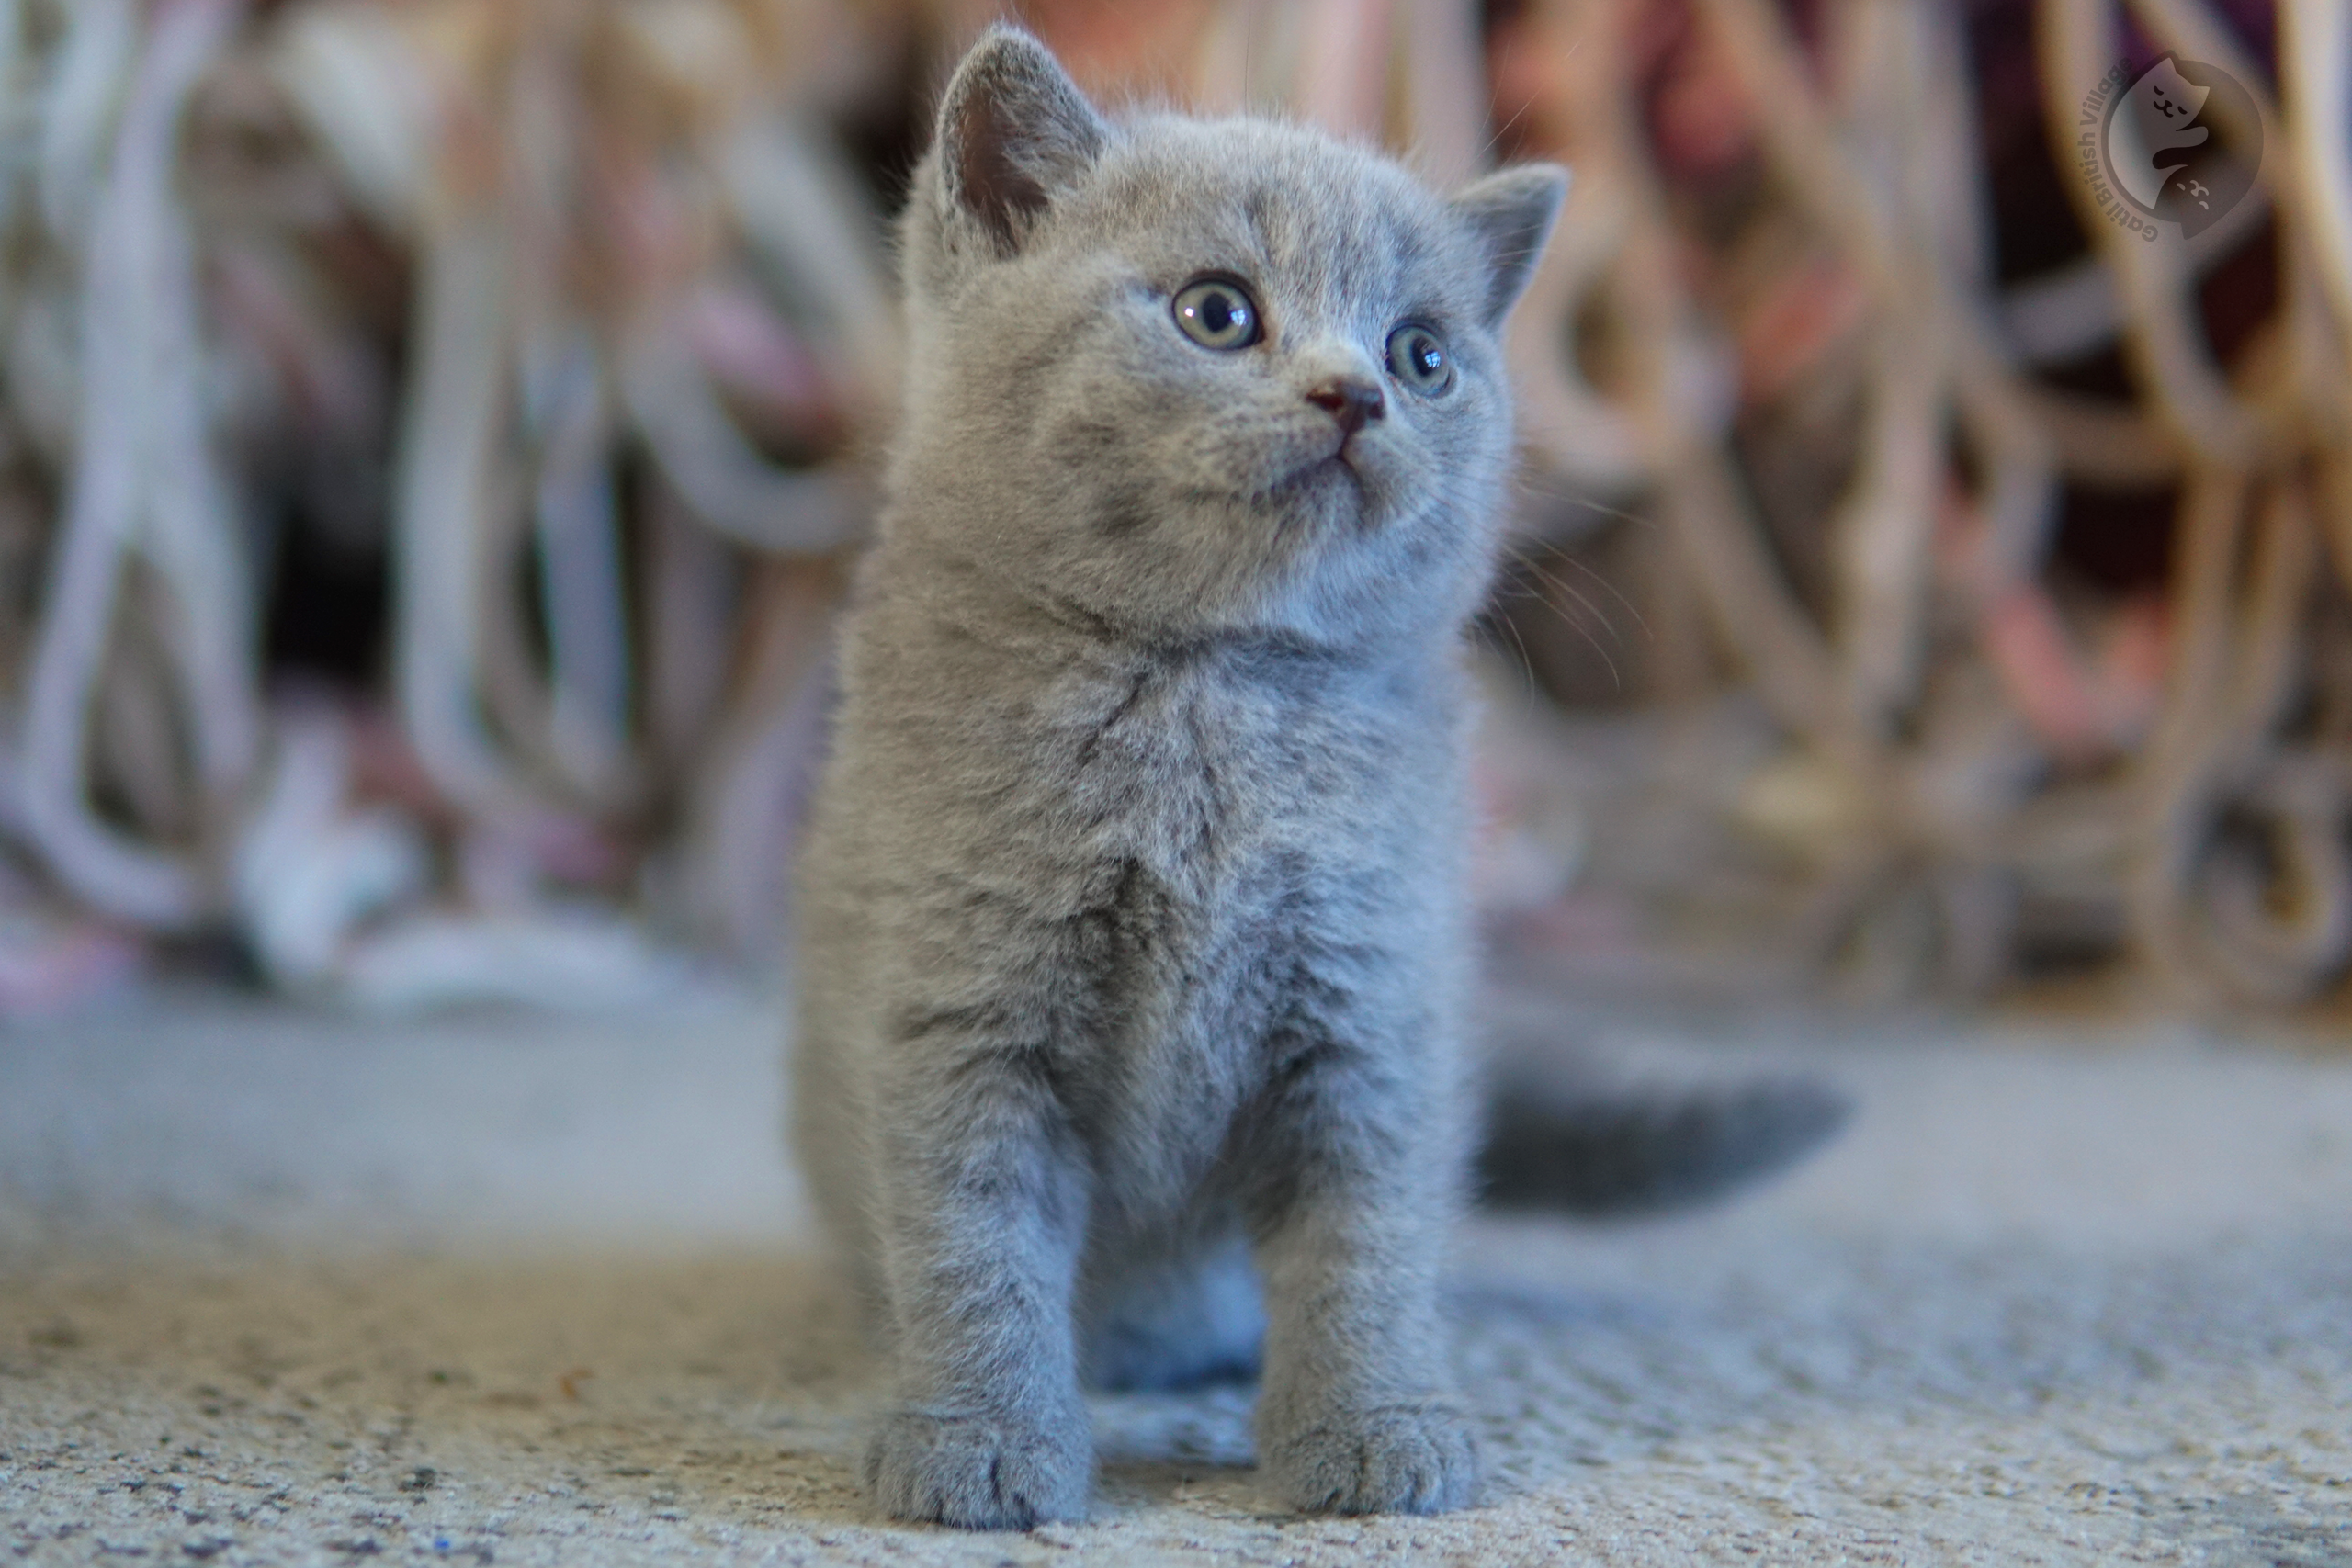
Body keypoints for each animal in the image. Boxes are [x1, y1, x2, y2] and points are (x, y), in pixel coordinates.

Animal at [799, 24, 1844, 1532]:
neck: (1212, 697)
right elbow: (969, 1232)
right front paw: (980, 1442)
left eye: (1423, 354)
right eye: (1217, 314)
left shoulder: (1372, 1003)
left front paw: (1372, 1432)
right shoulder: (959, 1002)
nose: (1357, 393)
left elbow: (1364, 1241)